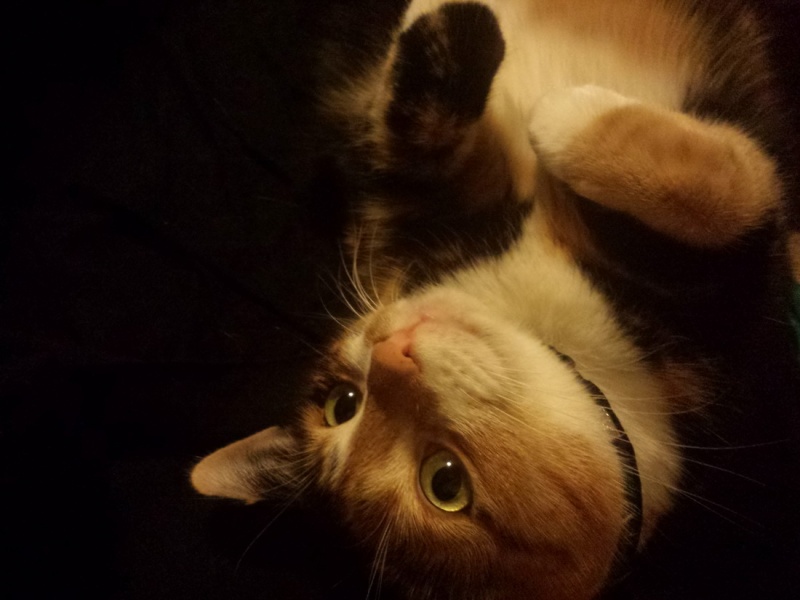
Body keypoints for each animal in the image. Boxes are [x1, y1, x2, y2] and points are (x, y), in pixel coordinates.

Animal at [190, 1, 799, 598]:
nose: (393, 350)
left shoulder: (431, 209)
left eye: (342, 402)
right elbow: (725, 191)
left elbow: (409, 139)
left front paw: (452, 30)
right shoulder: (725, 294)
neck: (538, 322)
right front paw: (559, 112)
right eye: (445, 482)